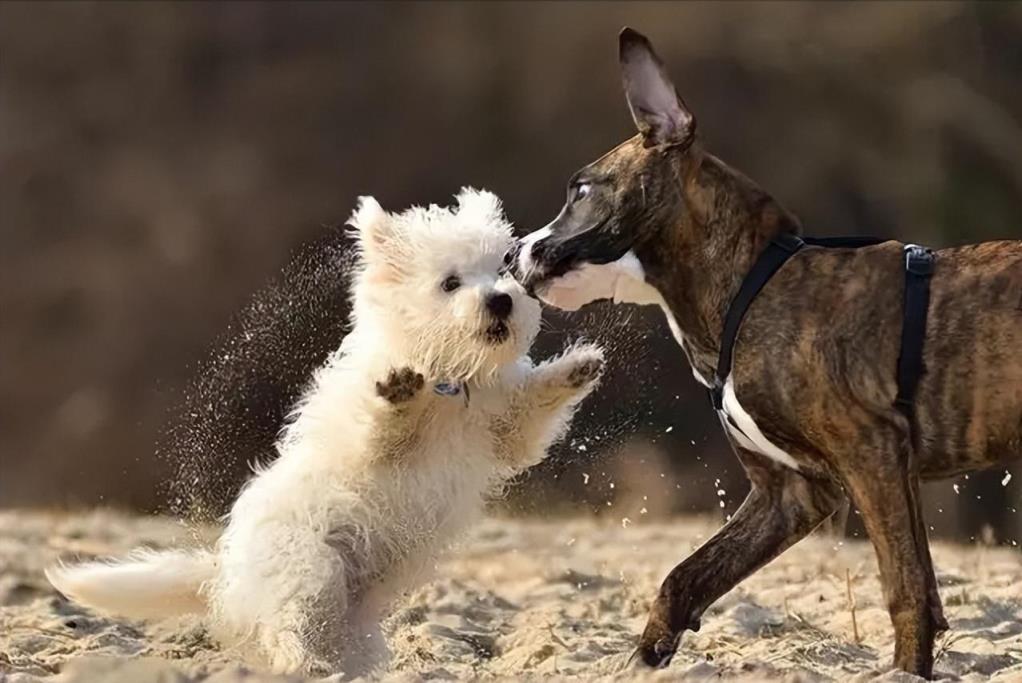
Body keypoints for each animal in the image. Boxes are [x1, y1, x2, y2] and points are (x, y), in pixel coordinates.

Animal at [48, 188, 600, 678]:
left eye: (503, 271)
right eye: (450, 283)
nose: (501, 301)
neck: (450, 377)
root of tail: (226, 577)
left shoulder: (504, 430)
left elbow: (531, 409)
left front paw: (577, 368)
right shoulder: (373, 445)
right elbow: (384, 431)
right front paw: (400, 394)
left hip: (353, 621)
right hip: (308, 566)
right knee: (286, 625)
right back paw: (302, 662)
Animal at [519, 26, 1021, 678]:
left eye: (581, 191)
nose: (512, 256)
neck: (751, 285)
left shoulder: (874, 454)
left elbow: (906, 587)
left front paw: (906, 670)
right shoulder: (791, 494)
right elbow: (685, 577)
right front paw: (643, 660)